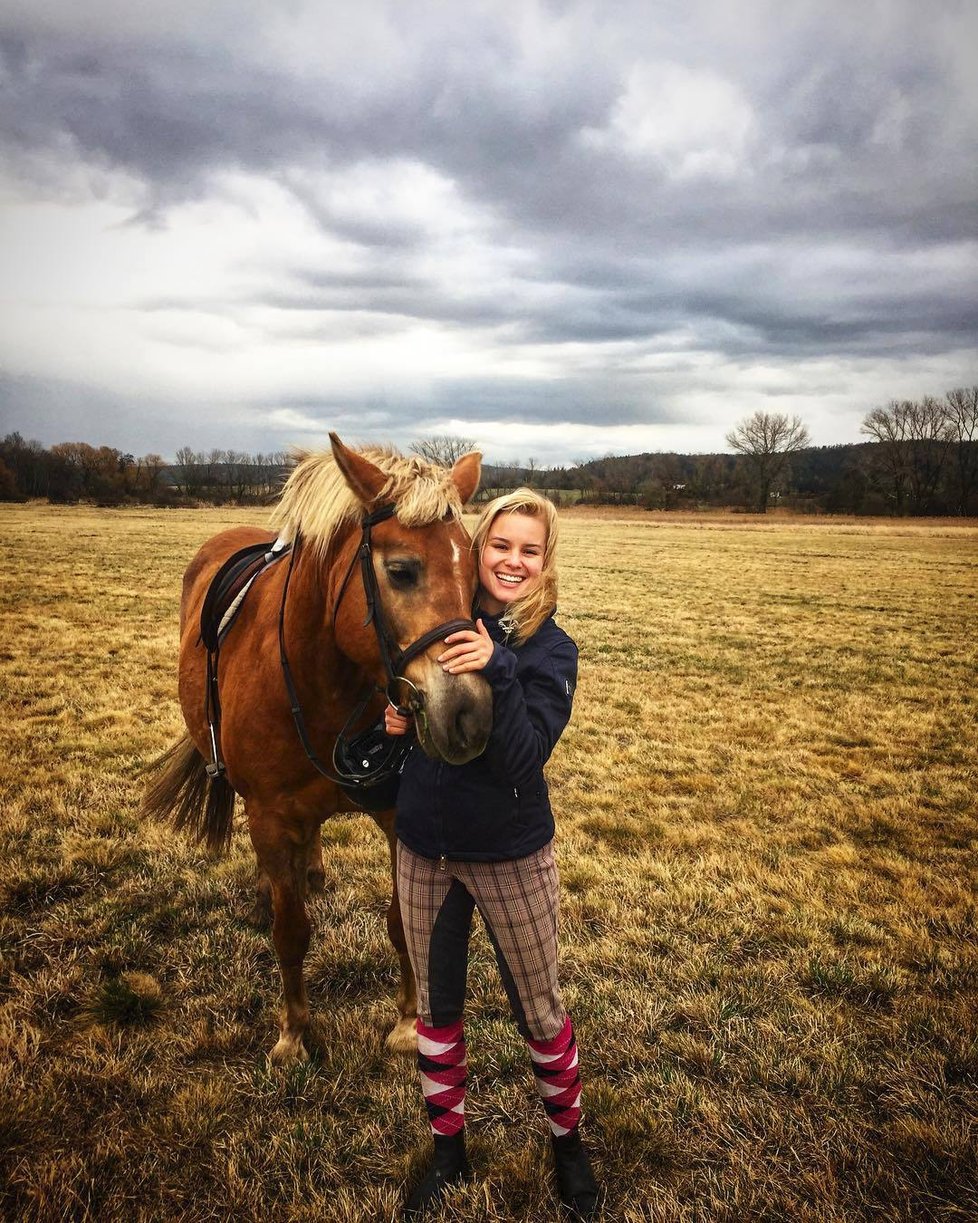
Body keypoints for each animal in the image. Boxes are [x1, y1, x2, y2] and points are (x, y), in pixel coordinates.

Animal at [141, 437, 493, 1061]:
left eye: (475, 574)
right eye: (401, 571)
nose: (468, 716)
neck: (320, 683)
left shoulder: (396, 815)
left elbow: (402, 922)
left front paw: (407, 1022)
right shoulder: (270, 815)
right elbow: (291, 932)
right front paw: (293, 1035)